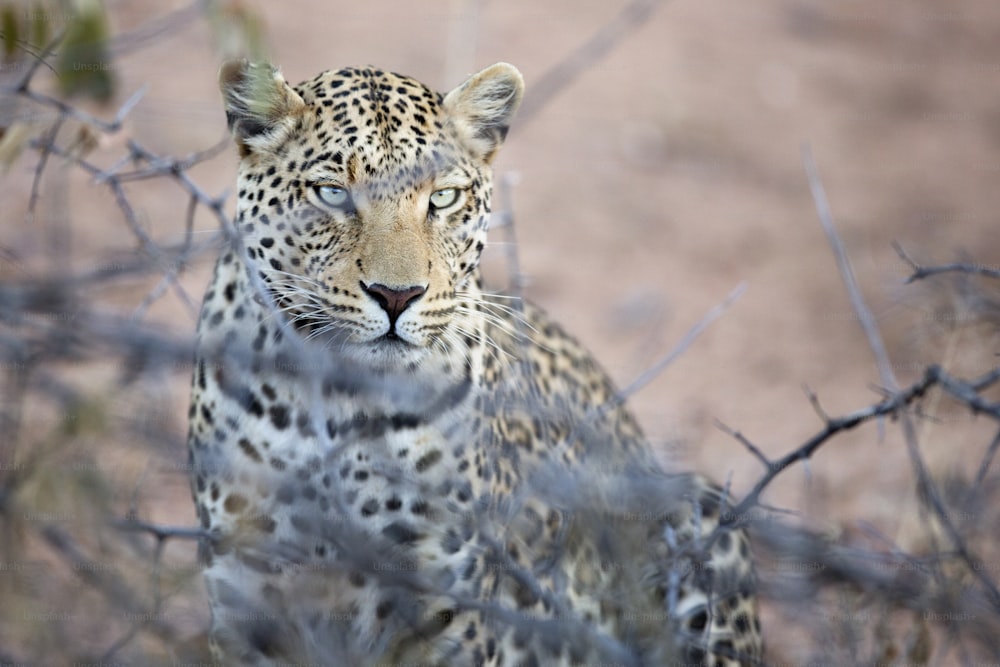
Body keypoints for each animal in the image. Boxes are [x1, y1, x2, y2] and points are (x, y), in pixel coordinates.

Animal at [188, 58, 760, 667]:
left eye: (442, 198)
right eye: (332, 194)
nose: (396, 296)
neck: (341, 400)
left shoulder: (446, 602)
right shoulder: (248, 592)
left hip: (696, 507)